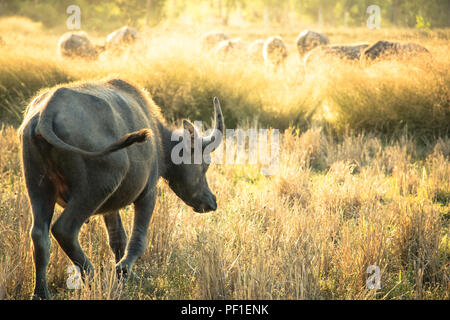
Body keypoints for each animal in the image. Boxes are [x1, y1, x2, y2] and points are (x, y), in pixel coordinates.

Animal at [20, 79, 224, 298]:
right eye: (205, 165)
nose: (211, 201)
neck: (159, 141)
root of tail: (46, 112)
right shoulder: (148, 194)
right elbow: (138, 239)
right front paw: (123, 270)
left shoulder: (110, 207)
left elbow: (117, 237)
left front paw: (127, 275)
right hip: (96, 187)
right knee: (64, 229)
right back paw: (92, 277)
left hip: (39, 186)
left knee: (39, 235)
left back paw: (41, 292)